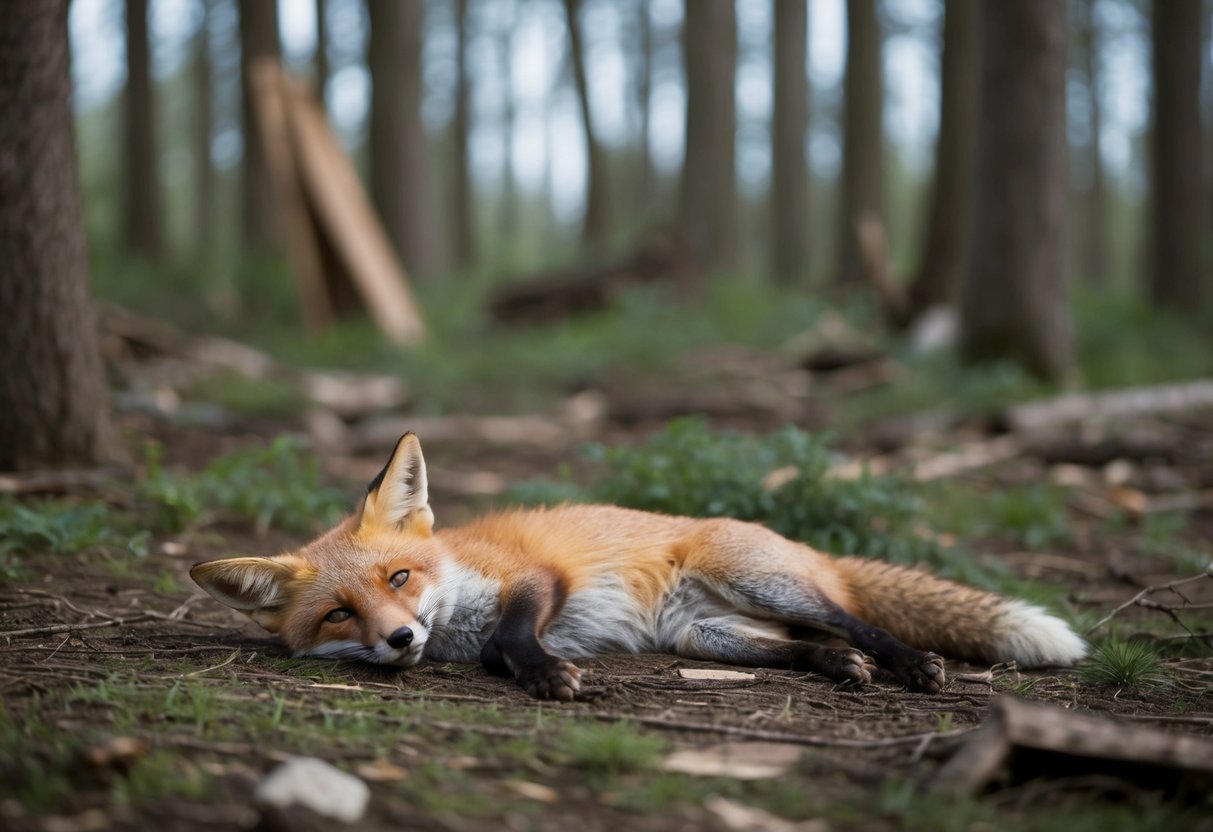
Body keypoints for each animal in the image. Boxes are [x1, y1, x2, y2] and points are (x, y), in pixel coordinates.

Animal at [191, 433, 1087, 700]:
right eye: (338, 614)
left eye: (398, 580)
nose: (401, 640)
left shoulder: (534, 578)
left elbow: (505, 640)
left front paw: (544, 674)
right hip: (707, 636)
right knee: (804, 644)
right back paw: (839, 667)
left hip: (757, 581)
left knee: (854, 619)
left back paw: (907, 664)